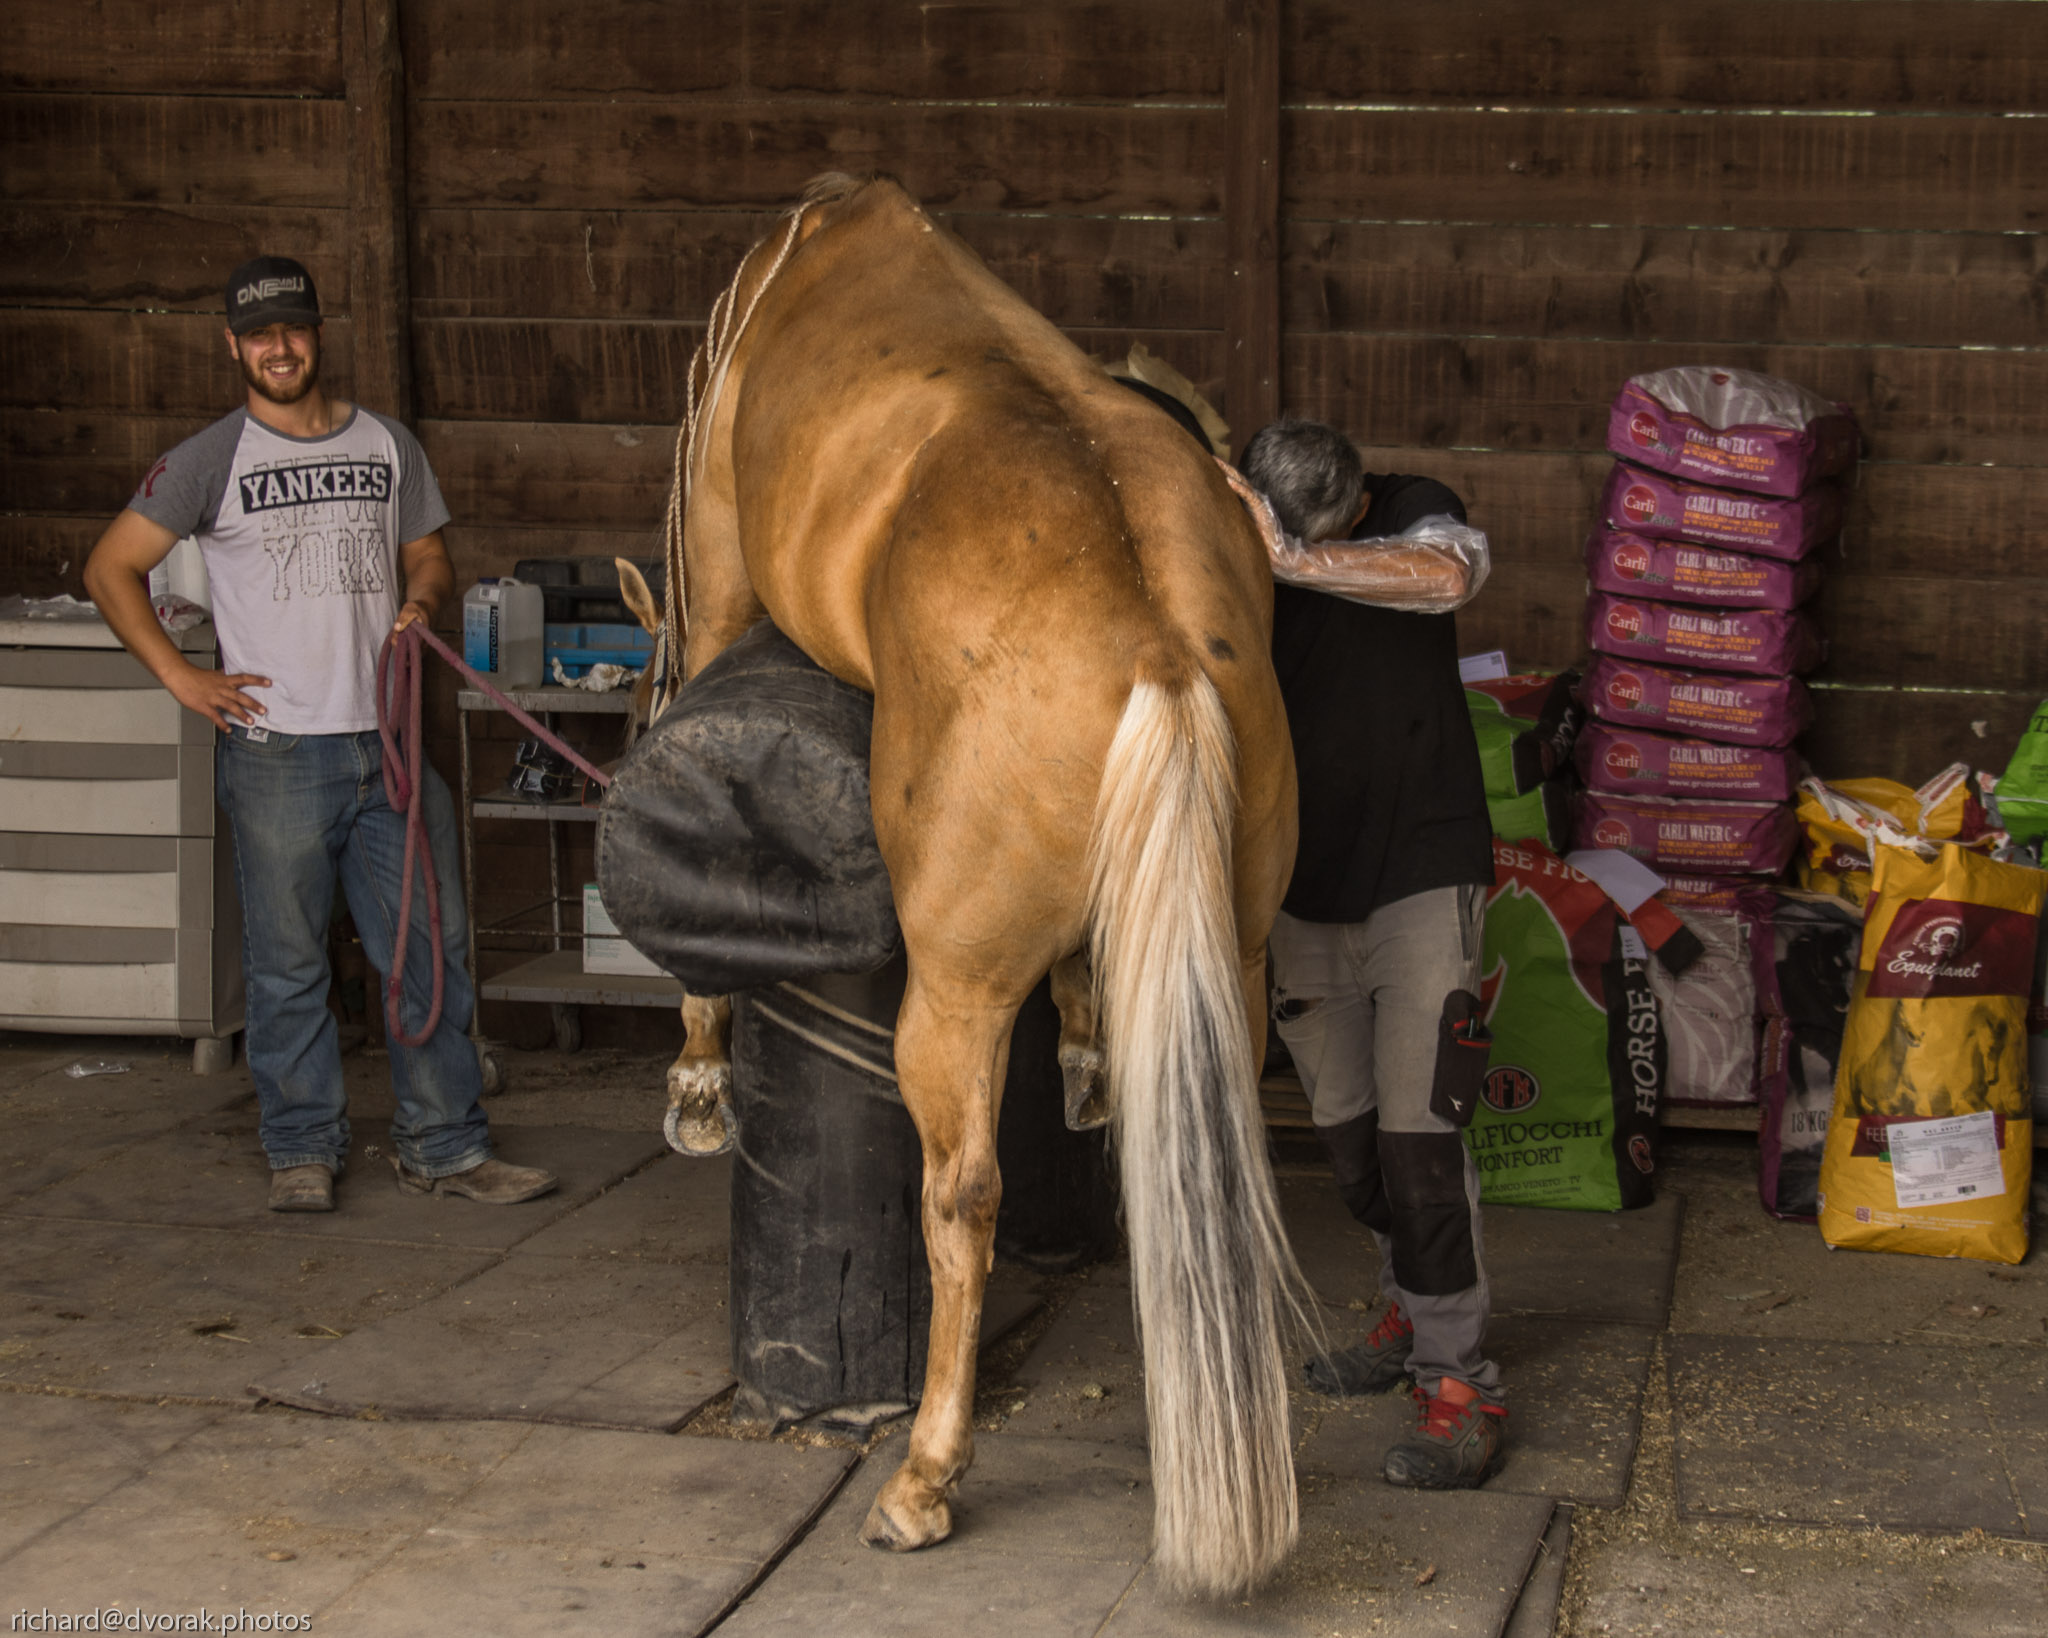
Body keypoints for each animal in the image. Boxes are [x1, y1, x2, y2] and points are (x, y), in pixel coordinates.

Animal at [633, 172, 1305, 1599]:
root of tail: (1161, 649)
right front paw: (1090, 1055)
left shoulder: (713, 569)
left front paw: (700, 1078)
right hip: (1234, 953)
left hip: (951, 996)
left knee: (965, 1196)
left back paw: (923, 1477)